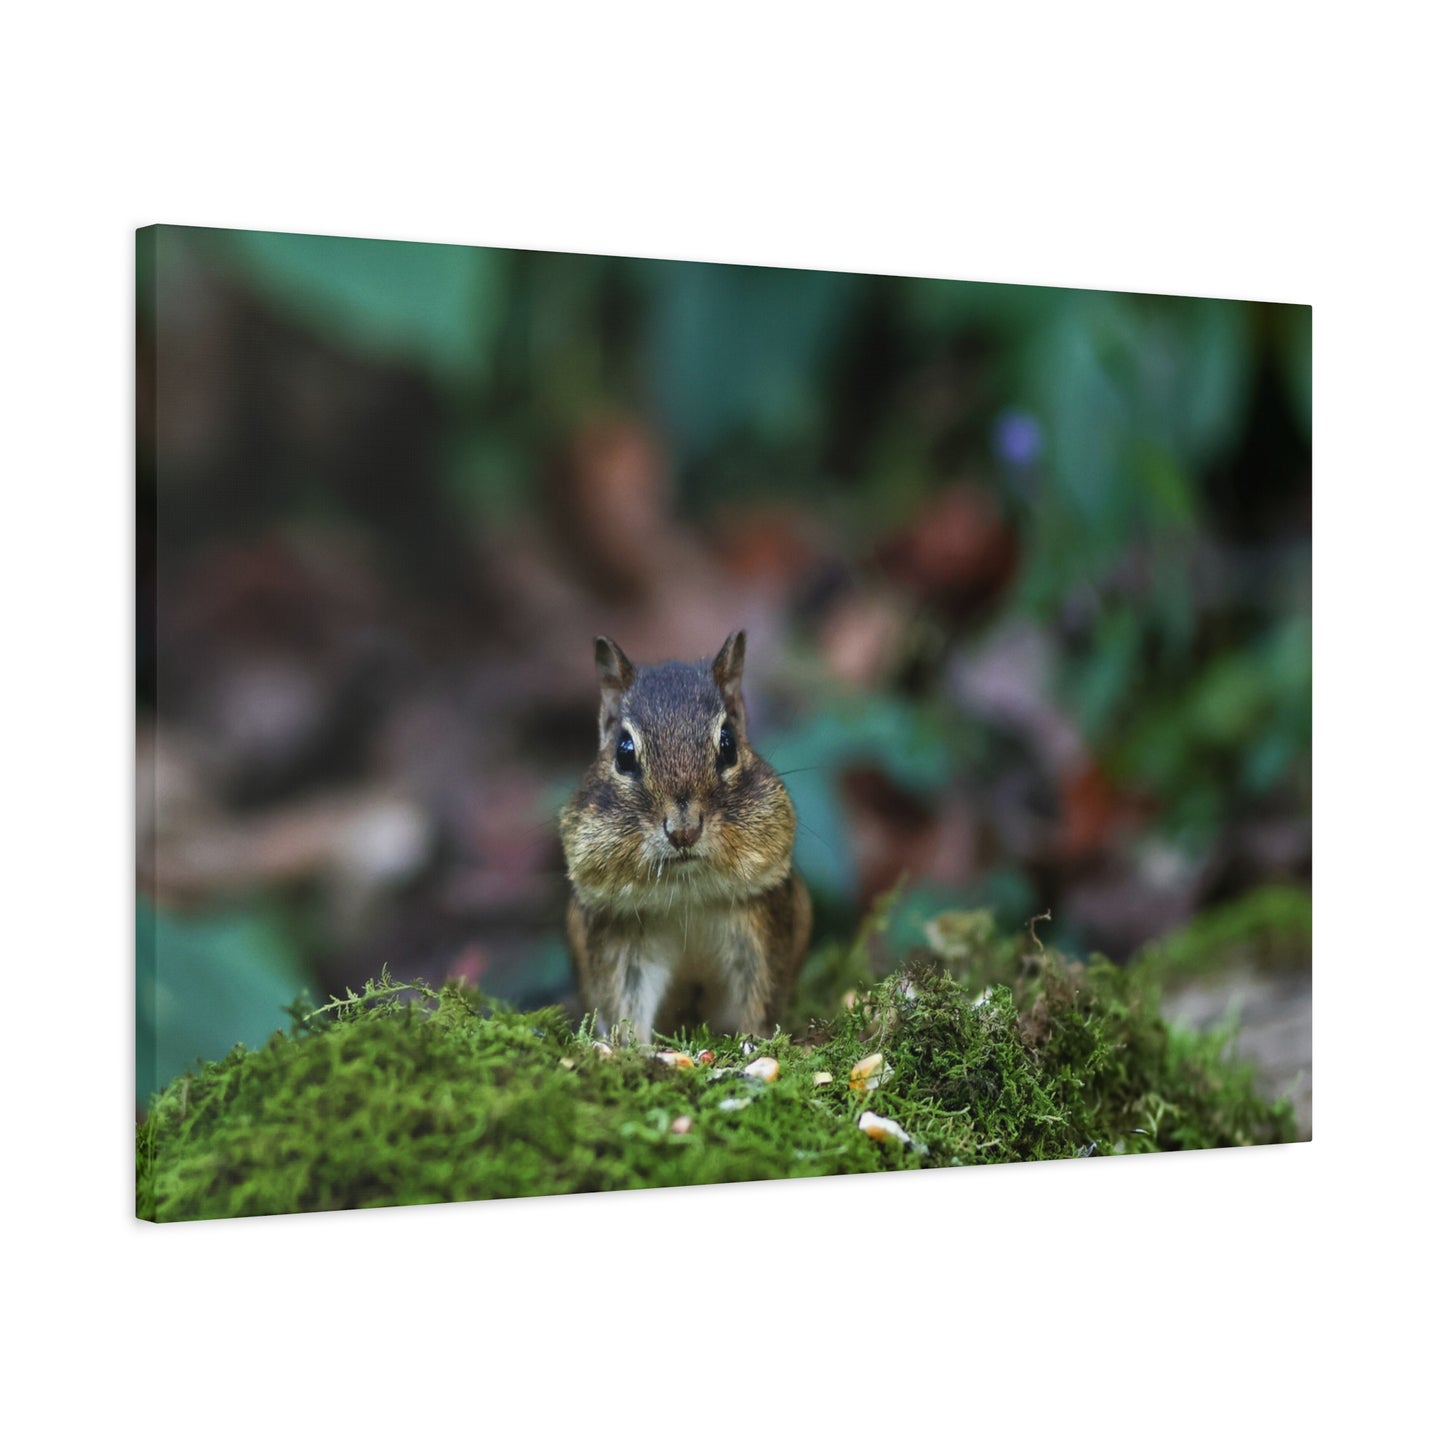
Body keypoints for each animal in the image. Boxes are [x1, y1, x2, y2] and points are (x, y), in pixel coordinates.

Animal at [560, 631, 811, 1043]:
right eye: (624, 753)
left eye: (728, 744)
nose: (683, 831)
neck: (686, 897)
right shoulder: (620, 940)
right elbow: (626, 1003)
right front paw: (631, 1048)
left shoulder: (761, 922)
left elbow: (760, 996)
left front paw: (755, 1042)